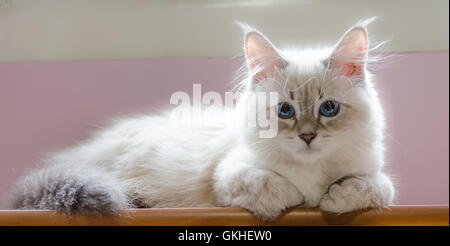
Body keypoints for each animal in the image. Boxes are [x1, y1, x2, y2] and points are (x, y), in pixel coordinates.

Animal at [6, 19, 394, 221]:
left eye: (328, 109)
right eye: (285, 111)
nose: (308, 137)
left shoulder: (373, 174)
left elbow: (375, 188)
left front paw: (332, 199)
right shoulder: (230, 176)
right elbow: (276, 186)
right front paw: (305, 199)